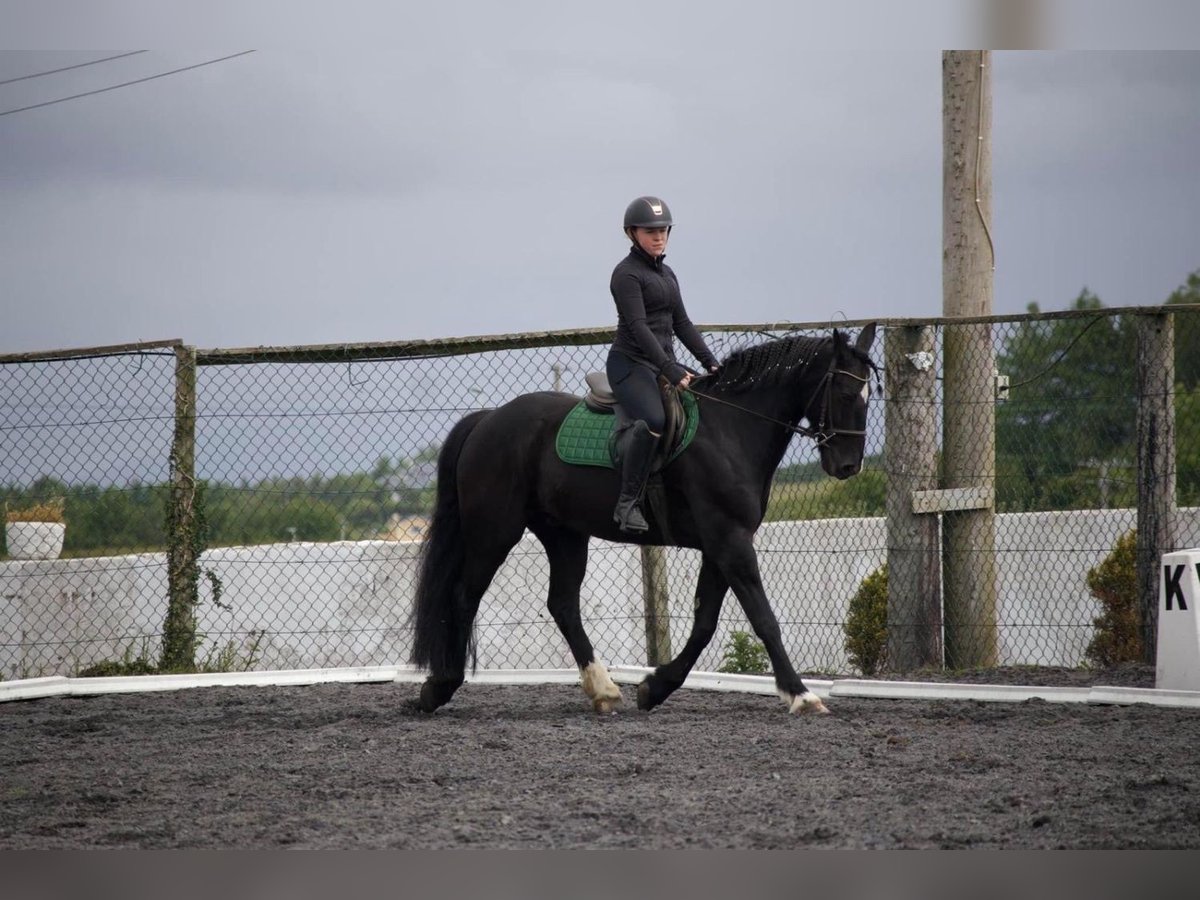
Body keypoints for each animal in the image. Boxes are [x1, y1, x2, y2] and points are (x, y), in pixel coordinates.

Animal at [410, 328, 873, 715]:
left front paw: (655, 687)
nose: (848, 466)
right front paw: (801, 694)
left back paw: (604, 690)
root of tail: (487, 419)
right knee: (464, 596)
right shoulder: (731, 541)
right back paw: (440, 687)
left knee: (563, 605)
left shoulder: (721, 545)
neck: (730, 429)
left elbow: (705, 624)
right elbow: (763, 619)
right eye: (846, 391)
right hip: (494, 533)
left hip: (564, 535)